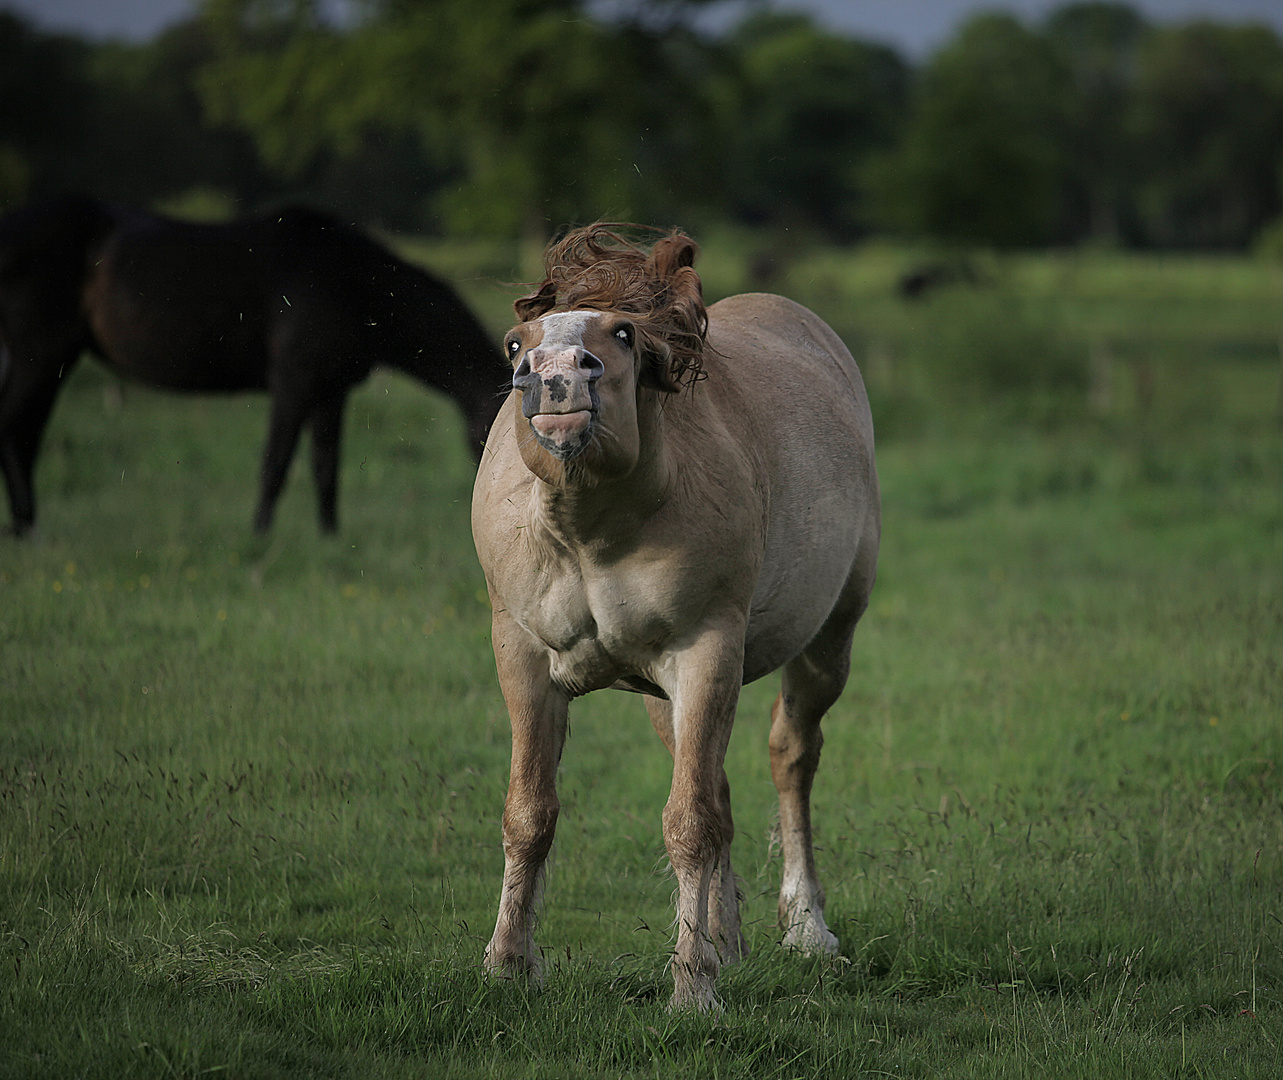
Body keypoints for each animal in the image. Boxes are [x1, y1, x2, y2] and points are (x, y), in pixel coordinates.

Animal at [0, 193, 508, 533]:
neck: (349, 280)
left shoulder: (330, 391)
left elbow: (326, 469)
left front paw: (329, 540)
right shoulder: (294, 384)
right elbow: (275, 465)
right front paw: (259, 540)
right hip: (38, 356)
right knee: (16, 430)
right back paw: (28, 528)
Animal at [472, 223, 882, 1005]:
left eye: (624, 333)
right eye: (514, 344)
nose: (556, 373)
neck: (592, 532)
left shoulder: (706, 651)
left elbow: (689, 822)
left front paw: (693, 986)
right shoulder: (523, 657)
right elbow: (528, 812)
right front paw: (507, 964)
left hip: (829, 643)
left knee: (792, 757)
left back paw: (805, 928)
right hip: (666, 696)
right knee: (716, 786)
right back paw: (729, 939)